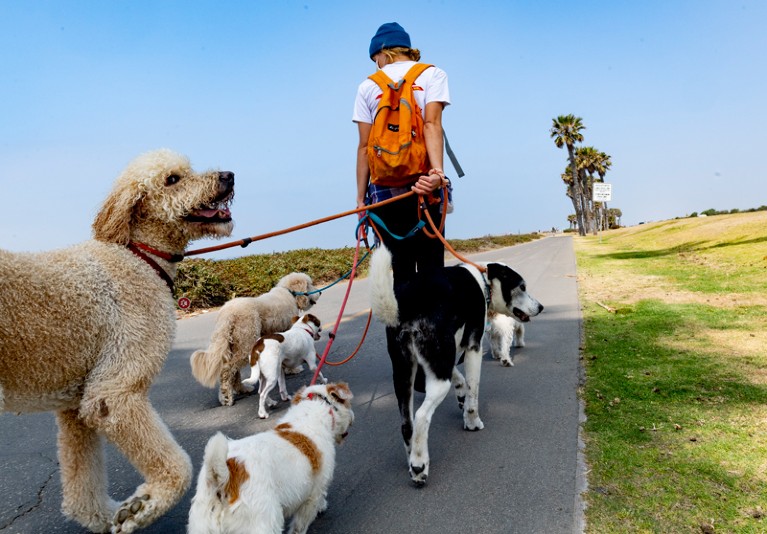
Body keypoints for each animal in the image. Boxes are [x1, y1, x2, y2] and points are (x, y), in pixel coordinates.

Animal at [368, 247, 544, 486]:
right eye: (522, 287)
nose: (541, 307)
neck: (484, 283)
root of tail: (407, 303)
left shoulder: (442, 361)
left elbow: (460, 380)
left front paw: (460, 395)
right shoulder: (473, 347)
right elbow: (473, 392)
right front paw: (472, 421)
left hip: (404, 375)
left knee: (407, 424)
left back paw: (412, 459)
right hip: (436, 377)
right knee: (421, 418)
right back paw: (419, 466)